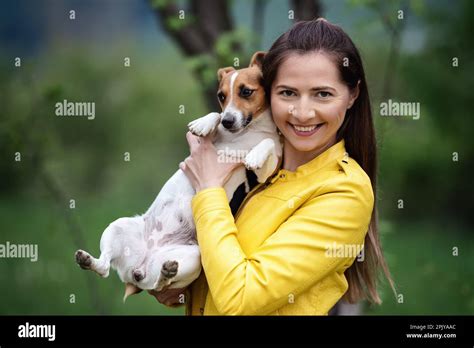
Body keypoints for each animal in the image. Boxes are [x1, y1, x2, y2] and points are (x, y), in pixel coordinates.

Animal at [74, 51, 282, 302]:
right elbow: (213, 116)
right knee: (105, 267)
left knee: (159, 283)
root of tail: (139, 268)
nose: (228, 121)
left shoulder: (263, 173)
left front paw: (255, 153)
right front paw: (204, 123)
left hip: (194, 258)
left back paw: (166, 272)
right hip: (118, 227)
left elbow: (267, 143)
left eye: (246, 92)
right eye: (221, 96)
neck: (248, 131)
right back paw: (89, 261)